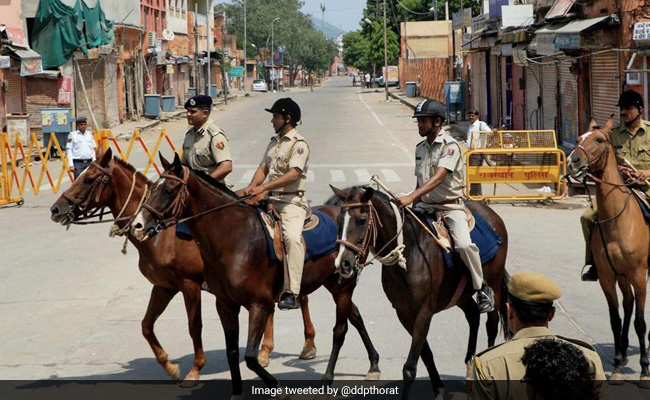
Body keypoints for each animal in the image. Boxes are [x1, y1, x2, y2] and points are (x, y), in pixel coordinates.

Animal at [49, 147, 320, 385]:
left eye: (88, 179)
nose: (55, 209)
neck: (162, 235)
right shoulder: (163, 286)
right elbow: (146, 325)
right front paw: (169, 366)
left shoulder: (189, 284)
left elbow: (194, 326)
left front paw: (195, 369)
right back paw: (265, 351)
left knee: (302, 298)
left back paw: (307, 345)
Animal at [129, 153, 381, 398]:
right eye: (152, 188)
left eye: (169, 190)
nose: (137, 225)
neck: (234, 239)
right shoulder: (225, 304)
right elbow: (232, 351)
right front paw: (237, 393)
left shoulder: (259, 305)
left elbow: (250, 357)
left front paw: (278, 389)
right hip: (333, 283)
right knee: (355, 315)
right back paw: (374, 364)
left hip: (344, 285)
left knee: (341, 329)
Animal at [331, 185, 510, 398]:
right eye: (339, 221)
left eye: (361, 219)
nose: (343, 263)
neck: (410, 252)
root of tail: (492, 215)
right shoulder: (404, 314)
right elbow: (425, 354)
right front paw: (439, 389)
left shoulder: (424, 312)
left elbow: (409, 368)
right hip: (460, 295)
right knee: (473, 315)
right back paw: (469, 371)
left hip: (494, 285)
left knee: (491, 324)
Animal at [568, 116, 650, 386]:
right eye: (579, 138)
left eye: (599, 140)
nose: (573, 160)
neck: (619, 220)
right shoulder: (607, 276)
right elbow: (616, 319)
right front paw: (616, 365)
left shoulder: (639, 275)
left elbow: (641, 322)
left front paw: (644, 370)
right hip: (621, 276)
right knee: (628, 304)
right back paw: (622, 352)